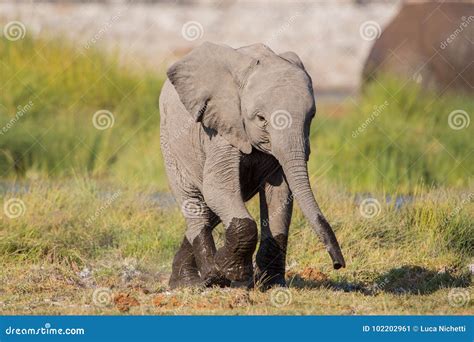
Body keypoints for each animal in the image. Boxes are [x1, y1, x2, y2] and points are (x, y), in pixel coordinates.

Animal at [160, 41, 344, 290]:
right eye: (261, 119)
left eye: (311, 116)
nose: (338, 264)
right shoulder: (222, 128)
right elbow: (217, 188)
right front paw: (231, 271)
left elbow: (279, 194)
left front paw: (271, 285)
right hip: (170, 143)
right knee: (195, 201)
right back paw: (206, 278)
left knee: (211, 209)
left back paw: (185, 280)